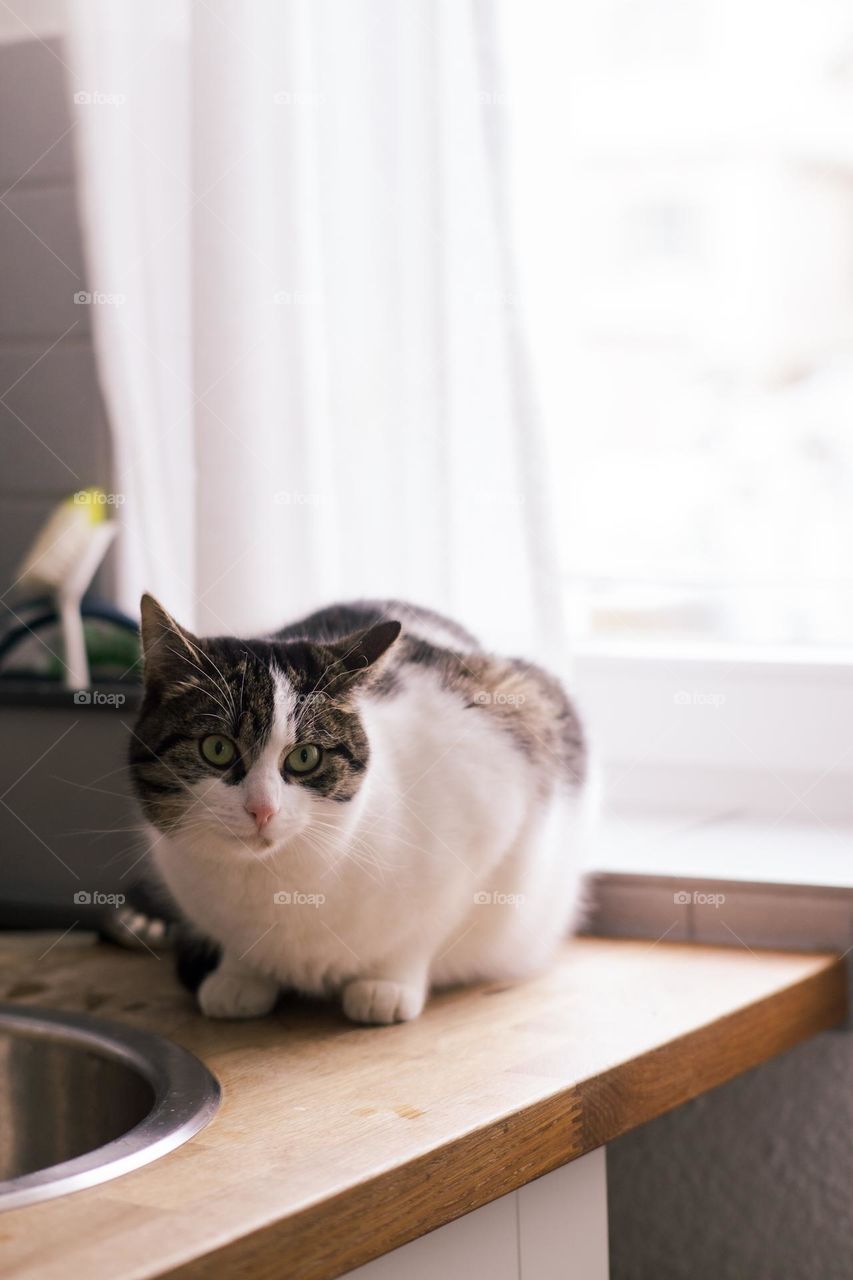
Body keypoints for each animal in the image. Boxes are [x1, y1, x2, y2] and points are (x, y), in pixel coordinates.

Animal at [129, 593, 589, 1024]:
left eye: (305, 757)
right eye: (217, 748)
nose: (262, 809)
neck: (272, 881)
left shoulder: (495, 802)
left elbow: (426, 928)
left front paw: (387, 985)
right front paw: (239, 976)